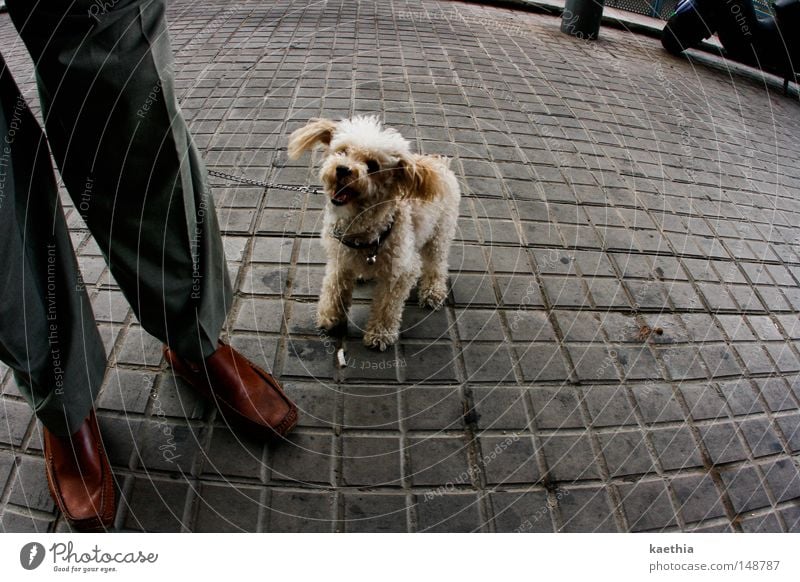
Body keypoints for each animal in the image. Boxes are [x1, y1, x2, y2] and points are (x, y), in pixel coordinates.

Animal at [288, 114, 462, 352]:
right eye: (342, 151)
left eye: (372, 165)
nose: (343, 169)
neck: (362, 230)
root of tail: (440, 163)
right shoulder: (340, 261)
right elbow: (334, 288)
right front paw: (330, 318)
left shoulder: (400, 273)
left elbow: (387, 306)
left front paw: (380, 333)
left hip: (439, 234)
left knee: (437, 264)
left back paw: (432, 291)